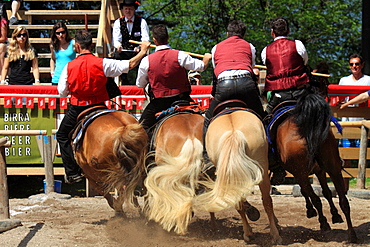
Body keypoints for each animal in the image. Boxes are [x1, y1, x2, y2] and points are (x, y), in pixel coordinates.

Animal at [192, 105, 282, 244]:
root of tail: (234, 134)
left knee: (239, 202)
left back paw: (249, 233)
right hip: (262, 170)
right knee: (266, 201)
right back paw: (273, 234)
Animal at [272, 91, 358, 243]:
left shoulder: (301, 173)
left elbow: (309, 193)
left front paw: (312, 211)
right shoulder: (319, 171)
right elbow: (326, 192)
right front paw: (335, 215)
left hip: (302, 173)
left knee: (316, 198)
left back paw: (324, 223)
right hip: (333, 168)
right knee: (344, 201)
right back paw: (351, 234)